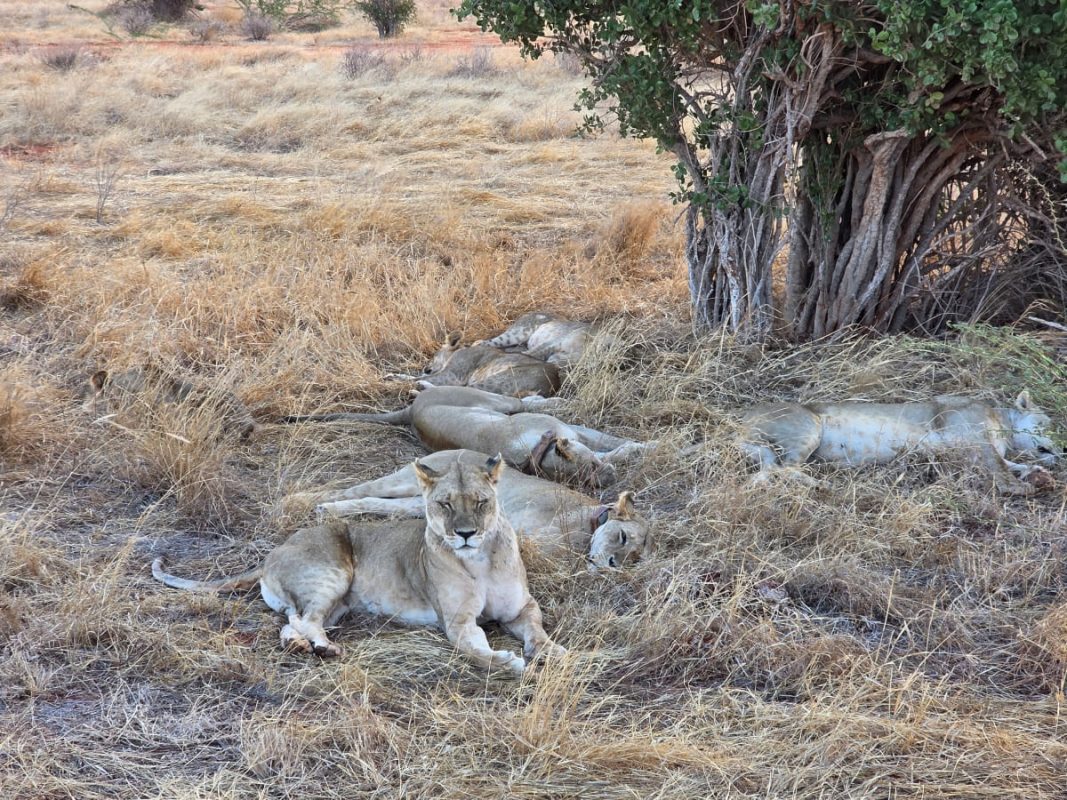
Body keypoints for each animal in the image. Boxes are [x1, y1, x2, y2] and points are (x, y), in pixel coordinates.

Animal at [153, 454, 565, 676]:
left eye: (481, 501)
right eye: (444, 503)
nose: (465, 533)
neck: (478, 560)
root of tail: (272, 552)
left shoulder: (521, 608)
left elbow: (537, 630)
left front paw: (552, 652)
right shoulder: (458, 624)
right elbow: (476, 652)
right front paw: (508, 662)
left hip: (336, 603)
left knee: (291, 621)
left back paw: (299, 646)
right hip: (332, 575)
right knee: (306, 618)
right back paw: (324, 648)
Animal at [284, 385, 650, 489]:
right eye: (590, 473)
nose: (610, 479)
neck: (540, 451)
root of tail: (411, 410)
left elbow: (606, 440)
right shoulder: (566, 429)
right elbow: (609, 444)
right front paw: (644, 447)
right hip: (494, 401)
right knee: (525, 400)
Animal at [288, 449, 653, 570]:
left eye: (635, 557)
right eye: (623, 538)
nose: (614, 565)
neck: (591, 521)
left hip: (420, 504)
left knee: (373, 503)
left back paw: (325, 509)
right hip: (403, 481)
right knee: (357, 489)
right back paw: (303, 500)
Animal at [739, 391, 1060, 494]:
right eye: (1048, 424)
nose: (1063, 449)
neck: (1004, 425)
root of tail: (740, 419)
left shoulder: (972, 451)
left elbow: (1011, 462)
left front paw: (1040, 475)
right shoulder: (974, 440)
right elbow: (1000, 467)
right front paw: (1022, 487)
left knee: (770, 470)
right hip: (809, 426)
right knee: (786, 468)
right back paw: (821, 485)